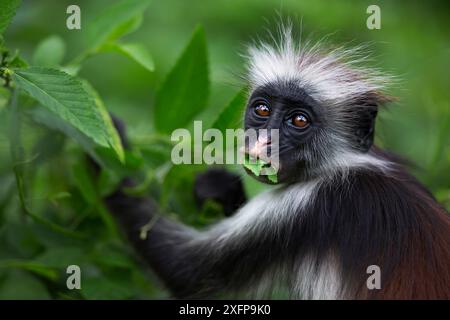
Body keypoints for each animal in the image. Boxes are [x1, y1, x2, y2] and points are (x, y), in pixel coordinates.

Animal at [106, 26, 450, 298]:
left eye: (298, 120)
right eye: (262, 110)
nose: (263, 144)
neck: (343, 165)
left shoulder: (306, 205)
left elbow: (184, 270)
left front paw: (111, 146)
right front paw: (218, 188)